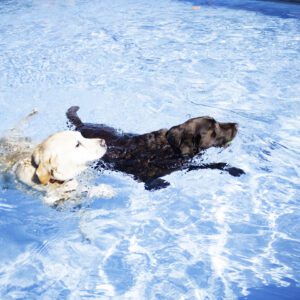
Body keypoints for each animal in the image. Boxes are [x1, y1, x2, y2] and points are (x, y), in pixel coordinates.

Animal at [66, 106, 244, 189]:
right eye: (214, 130)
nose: (237, 124)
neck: (172, 146)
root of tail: (81, 125)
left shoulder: (188, 164)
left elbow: (216, 164)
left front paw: (234, 169)